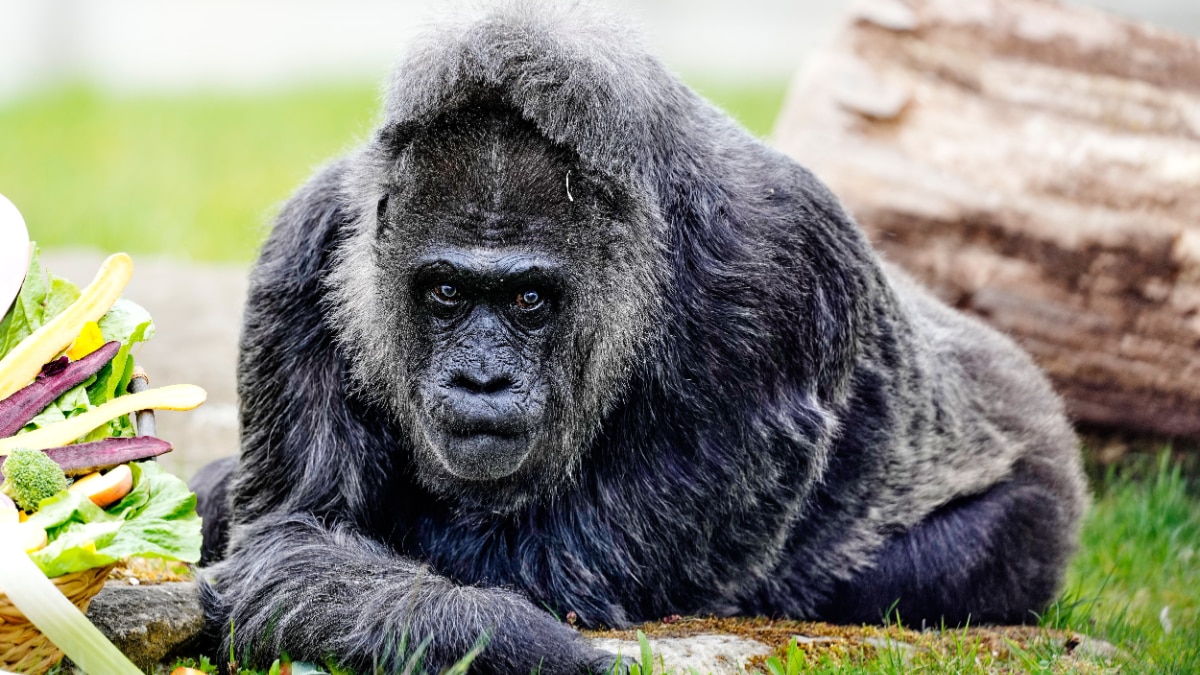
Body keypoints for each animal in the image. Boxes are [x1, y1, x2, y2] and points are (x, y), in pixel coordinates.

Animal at [192, 4, 1088, 673]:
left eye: (529, 299)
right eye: (445, 291)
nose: (482, 380)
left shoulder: (771, 274)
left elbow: (553, 569)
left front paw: (530, 643)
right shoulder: (303, 253)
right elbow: (294, 535)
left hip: (1036, 486)